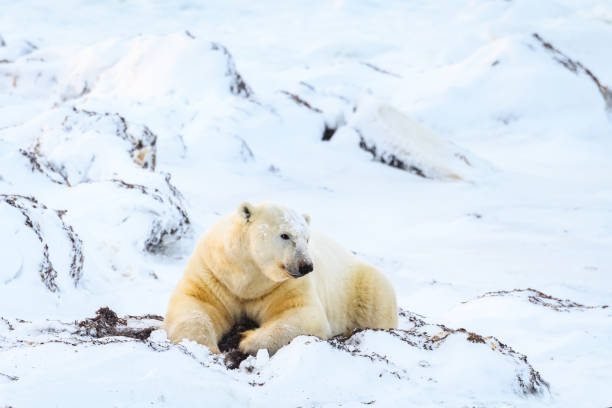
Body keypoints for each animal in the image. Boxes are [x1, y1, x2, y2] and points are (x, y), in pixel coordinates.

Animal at [165, 201, 400, 354]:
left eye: (307, 238)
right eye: (285, 235)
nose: (306, 266)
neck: (248, 276)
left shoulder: (283, 286)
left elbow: (301, 316)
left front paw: (246, 339)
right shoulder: (215, 274)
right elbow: (197, 305)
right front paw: (205, 345)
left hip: (359, 283)